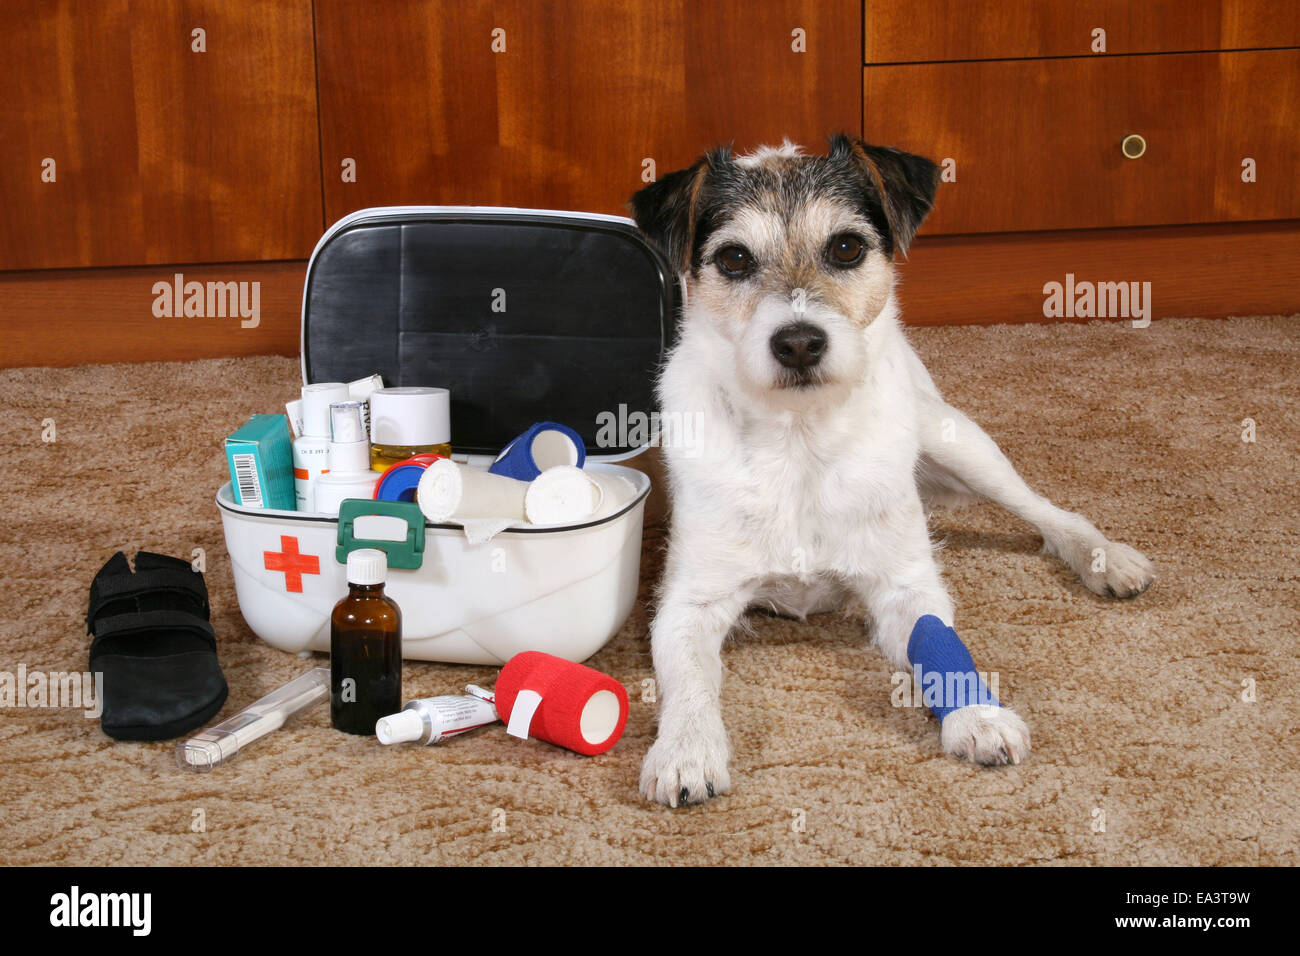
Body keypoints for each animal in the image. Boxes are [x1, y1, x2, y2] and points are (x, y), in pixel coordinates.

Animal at [624, 134, 1154, 806]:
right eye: (735, 258)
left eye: (846, 247)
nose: (799, 343)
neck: (799, 444)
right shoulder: (688, 605)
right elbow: (691, 682)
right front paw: (686, 751)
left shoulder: (907, 588)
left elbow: (942, 648)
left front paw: (976, 715)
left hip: (960, 445)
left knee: (1051, 513)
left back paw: (1106, 559)